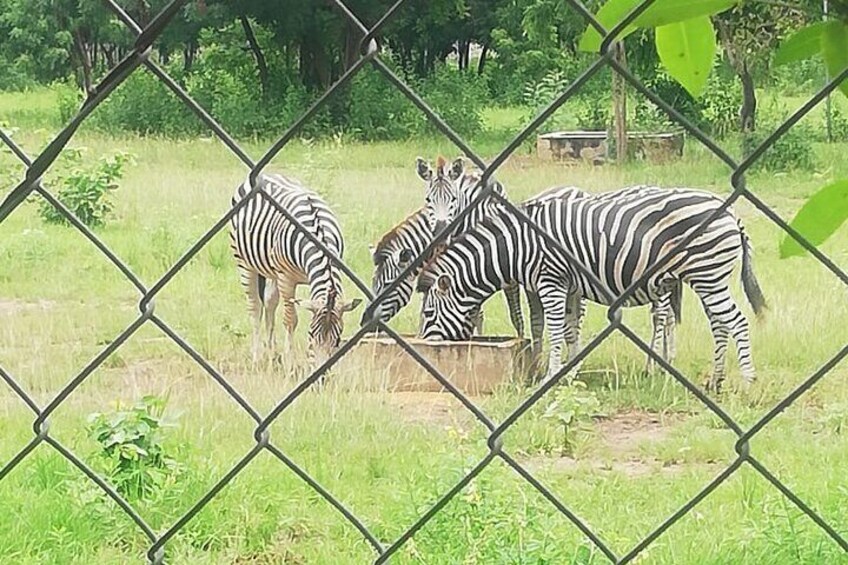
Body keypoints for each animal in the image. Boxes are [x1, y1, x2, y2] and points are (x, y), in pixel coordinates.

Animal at [229, 172, 362, 367]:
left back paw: (272, 353)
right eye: (311, 336)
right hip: (245, 263)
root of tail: (266, 173)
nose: (323, 374)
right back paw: (257, 357)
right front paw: (290, 363)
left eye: (338, 341)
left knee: (269, 302)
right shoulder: (286, 278)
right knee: (255, 308)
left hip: (271, 269)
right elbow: (291, 320)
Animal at [416, 186, 766, 392]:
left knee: (736, 322)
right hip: (708, 279)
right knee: (720, 324)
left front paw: (551, 377)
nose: (426, 349)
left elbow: (556, 330)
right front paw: (571, 373)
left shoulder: (551, 280)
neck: (517, 245)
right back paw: (716, 380)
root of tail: (731, 213)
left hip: (707, 275)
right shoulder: (570, 286)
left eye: (429, 312)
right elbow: (571, 330)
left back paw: (748, 381)